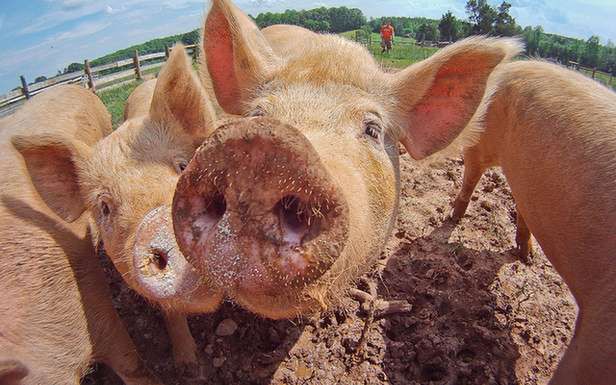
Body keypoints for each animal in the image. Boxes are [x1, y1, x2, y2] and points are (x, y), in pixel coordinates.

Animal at [448, 59, 616, 380]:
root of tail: (518, 62)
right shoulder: (599, 322)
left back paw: (527, 257)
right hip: (484, 132)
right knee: (471, 170)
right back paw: (454, 217)